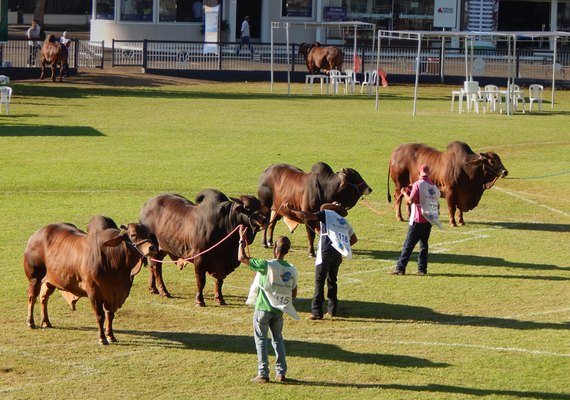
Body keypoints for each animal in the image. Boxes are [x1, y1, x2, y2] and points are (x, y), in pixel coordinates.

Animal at [23, 216, 158, 344]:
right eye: (133, 235)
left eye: (148, 234)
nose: (152, 248)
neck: (113, 259)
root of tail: (35, 235)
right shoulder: (94, 293)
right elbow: (100, 316)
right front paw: (102, 338)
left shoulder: (112, 295)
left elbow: (110, 314)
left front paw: (111, 336)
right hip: (34, 278)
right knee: (32, 297)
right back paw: (31, 322)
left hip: (51, 280)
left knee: (44, 297)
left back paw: (46, 322)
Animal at [139, 189, 268, 304]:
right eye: (247, 207)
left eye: (259, 204)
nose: (264, 219)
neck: (224, 224)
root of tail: (146, 205)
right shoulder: (200, 257)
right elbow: (201, 280)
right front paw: (199, 300)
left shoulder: (220, 262)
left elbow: (219, 280)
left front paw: (219, 298)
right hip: (155, 248)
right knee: (156, 268)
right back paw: (164, 291)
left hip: (161, 249)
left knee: (153, 266)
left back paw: (153, 288)